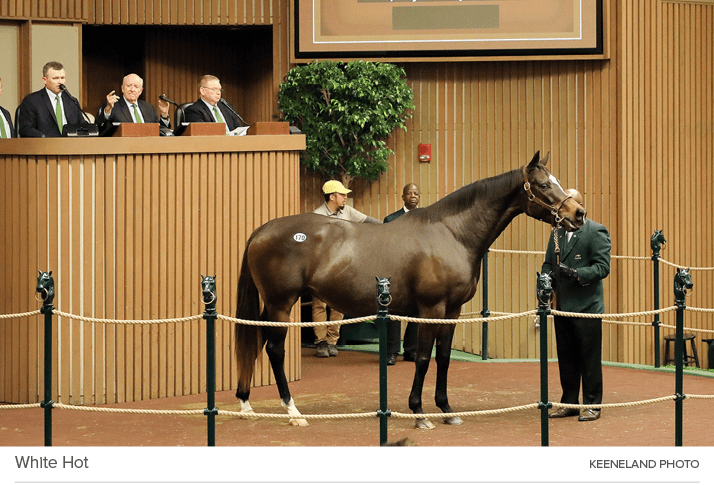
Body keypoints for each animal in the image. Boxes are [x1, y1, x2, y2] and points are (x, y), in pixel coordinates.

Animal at [234, 151, 584, 428]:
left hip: (272, 305)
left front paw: (446, 409)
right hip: (281, 303)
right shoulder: (431, 309)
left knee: (256, 339)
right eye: (543, 185)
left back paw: (246, 403)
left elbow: (444, 357)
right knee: (274, 350)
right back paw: (292, 412)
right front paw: (419, 413)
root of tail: (261, 230)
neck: (452, 234)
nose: (577, 214)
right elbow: (425, 358)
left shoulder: (452, 311)